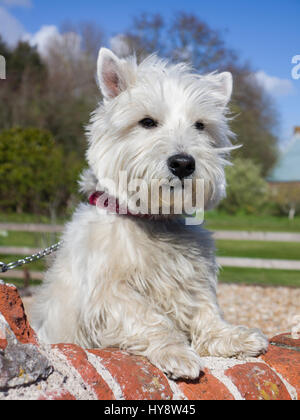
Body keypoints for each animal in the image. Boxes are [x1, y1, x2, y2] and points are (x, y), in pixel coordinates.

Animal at [31, 49, 268, 380]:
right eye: (147, 122)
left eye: (200, 125)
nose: (183, 163)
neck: (153, 219)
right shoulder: (108, 292)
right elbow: (148, 317)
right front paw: (176, 352)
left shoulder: (191, 278)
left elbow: (205, 309)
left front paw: (233, 336)